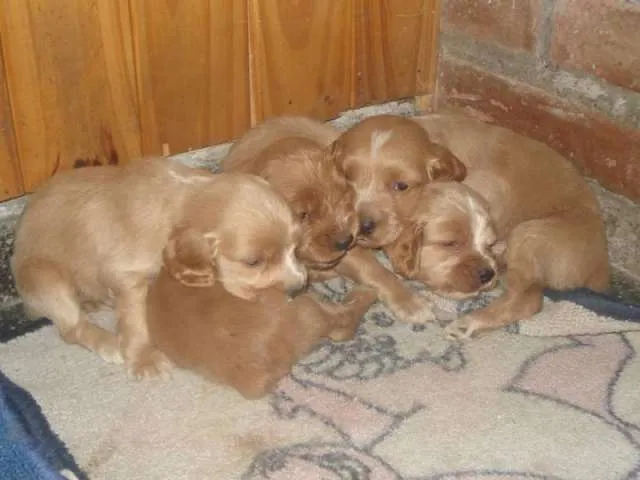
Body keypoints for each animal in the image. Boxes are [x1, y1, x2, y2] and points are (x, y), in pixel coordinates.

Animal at [11, 161, 306, 378]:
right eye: (252, 262)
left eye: (295, 247)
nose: (299, 289)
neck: (183, 203)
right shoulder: (125, 275)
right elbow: (135, 318)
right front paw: (144, 359)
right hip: (44, 278)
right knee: (71, 328)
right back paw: (108, 342)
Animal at [378, 112, 612, 338]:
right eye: (450, 243)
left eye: (487, 243)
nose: (487, 274)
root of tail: (601, 267)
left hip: (528, 235)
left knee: (528, 299)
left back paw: (469, 322)